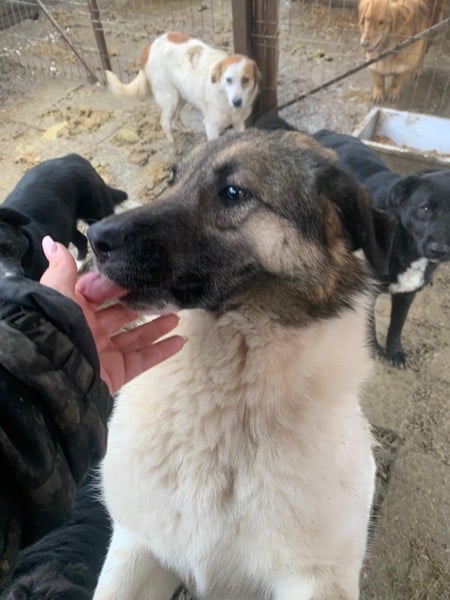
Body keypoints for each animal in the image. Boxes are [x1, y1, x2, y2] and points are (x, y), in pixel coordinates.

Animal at [105, 32, 261, 148]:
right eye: (228, 80)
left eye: (245, 80)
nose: (237, 102)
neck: (224, 98)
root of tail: (150, 47)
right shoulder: (211, 126)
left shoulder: (239, 124)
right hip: (170, 98)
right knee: (165, 122)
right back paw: (174, 144)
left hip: (182, 96)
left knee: (175, 117)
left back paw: (184, 130)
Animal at [313, 128, 450, 367]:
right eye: (425, 208)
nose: (440, 249)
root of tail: (325, 131)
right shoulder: (369, 290)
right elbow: (369, 322)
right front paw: (372, 348)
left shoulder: (407, 293)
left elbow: (397, 325)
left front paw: (394, 352)